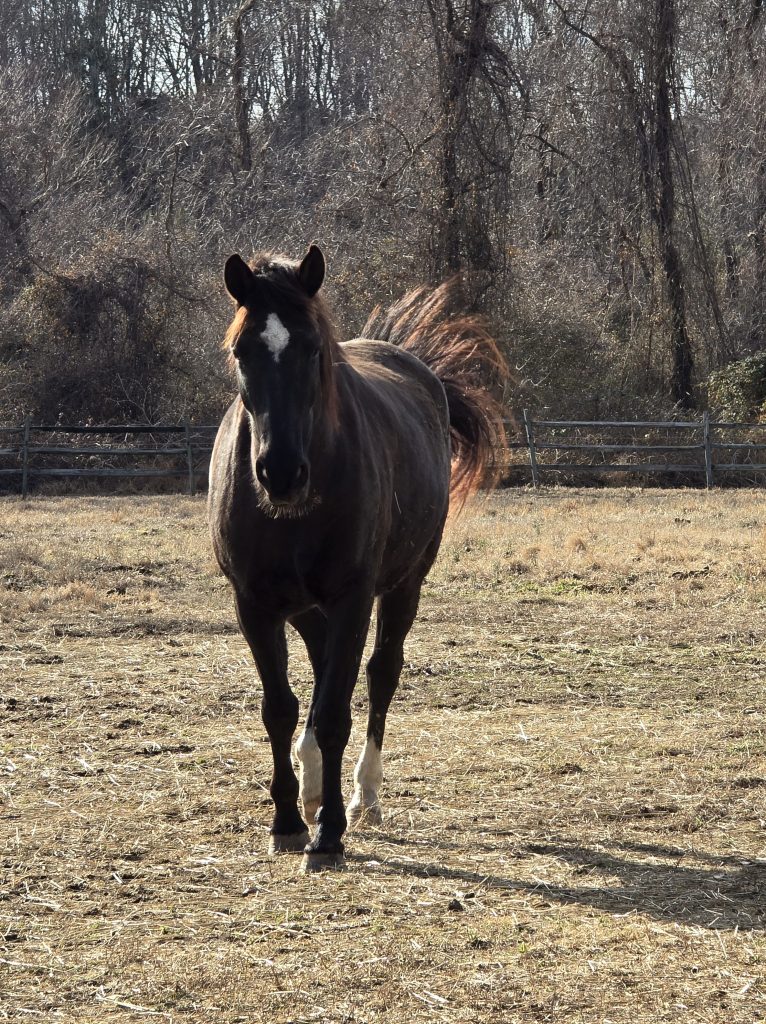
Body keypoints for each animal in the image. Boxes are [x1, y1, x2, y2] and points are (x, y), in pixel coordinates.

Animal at [208, 244, 507, 871]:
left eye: (312, 349)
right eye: (242, 351)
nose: (281, 473)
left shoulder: (352, 599)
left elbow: (335, 714)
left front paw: (328, 833)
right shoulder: (254, 605)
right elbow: (281, 709)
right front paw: (288, 820)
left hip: (403, 587)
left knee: (379, 675)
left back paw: (363, 793)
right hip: (305, 606)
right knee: (323, 669)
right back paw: (313, 782)